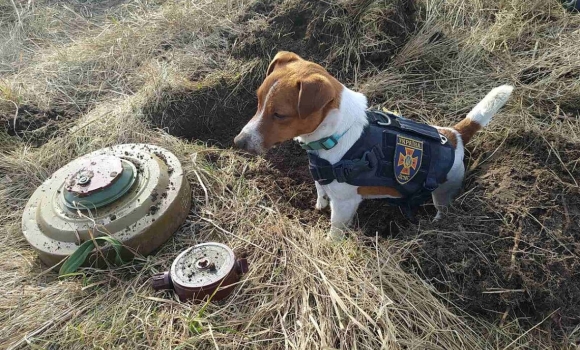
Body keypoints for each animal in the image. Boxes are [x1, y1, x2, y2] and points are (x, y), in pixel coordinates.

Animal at [233, 51, 516, 241]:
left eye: (280, 115)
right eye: (258, 101)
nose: (238, 142)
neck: (337, 133)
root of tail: (455, 135)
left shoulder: (345, 203)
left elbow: (335, 228)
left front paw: (329, 244)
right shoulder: (321, 177)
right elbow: (320, 191)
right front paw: (319, 204)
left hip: (444, 190)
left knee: (443, 208)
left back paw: (436, 225)